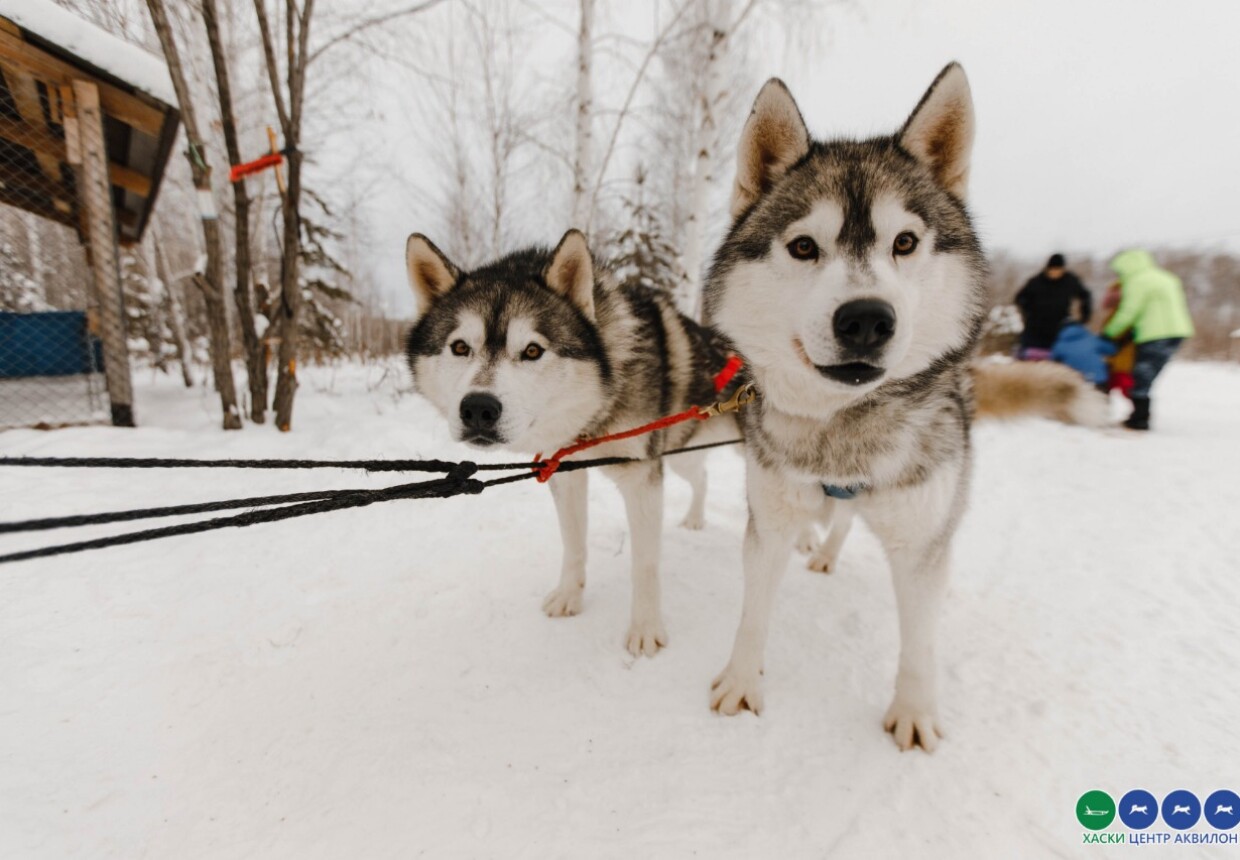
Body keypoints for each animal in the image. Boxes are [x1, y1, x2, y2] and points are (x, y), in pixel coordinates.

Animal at [404, 230, 734, 659]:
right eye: (460, 347)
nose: (478, 408)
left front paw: (645, 627)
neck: (592, 413)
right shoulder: (565, 472)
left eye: (532, 350)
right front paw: (569, 597)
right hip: (681, 455)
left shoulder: (642, 479)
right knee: (703, 477)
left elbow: (644, 563)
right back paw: (695, 518)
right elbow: (573, 543)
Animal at [699, 65, 996, 753]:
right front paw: (740, 682)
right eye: (804, 247)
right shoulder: (770, 519)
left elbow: (919, 642)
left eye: (905, 242)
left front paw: (913, 711)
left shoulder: (922, 540)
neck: (843, 432)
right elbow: (754, 611)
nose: (865, 318)